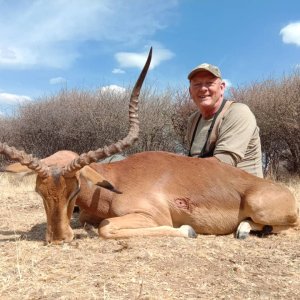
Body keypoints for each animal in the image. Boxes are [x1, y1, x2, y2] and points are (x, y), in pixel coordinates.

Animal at [1, 47, 298, 244]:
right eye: (39, 192)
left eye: (74, 190)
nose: (58, 238)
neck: (115, 183)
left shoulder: (154, 216)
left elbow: (106, 227)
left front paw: (188, 230)